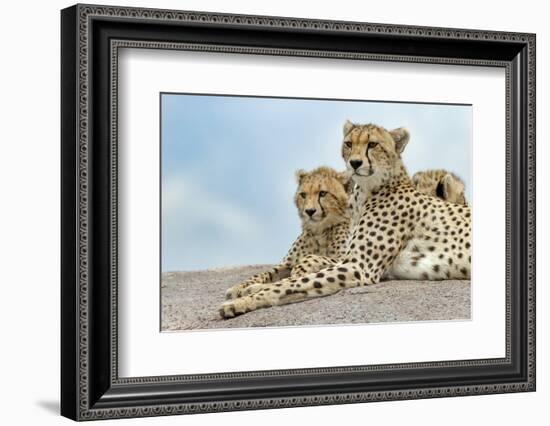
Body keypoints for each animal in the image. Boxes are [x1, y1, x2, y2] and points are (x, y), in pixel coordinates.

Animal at [225, 166, 352, 300]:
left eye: (322, 193)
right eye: (303, 195)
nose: (309, 211)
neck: (319, 230)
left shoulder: (345, 258)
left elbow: (311, 259)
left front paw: (300, 269)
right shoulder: (287, 263)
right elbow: (267, 272)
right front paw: (238, 287)